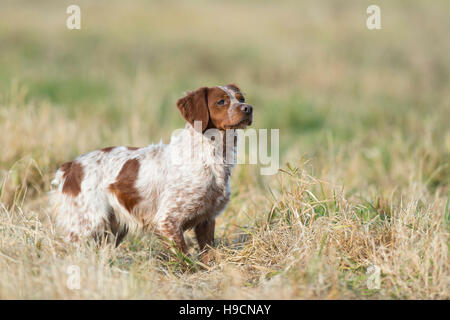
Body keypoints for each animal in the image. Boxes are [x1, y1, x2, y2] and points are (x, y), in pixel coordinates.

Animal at [50, 84, 253, 262]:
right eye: (221, 101)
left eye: (241, 98)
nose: (248, 108)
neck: (212, 155)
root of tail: (71, 165)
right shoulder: (167, 220)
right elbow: (185, 257)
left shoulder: (206, 219)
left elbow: (208, 254)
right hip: (87, 225)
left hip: (113, 229)